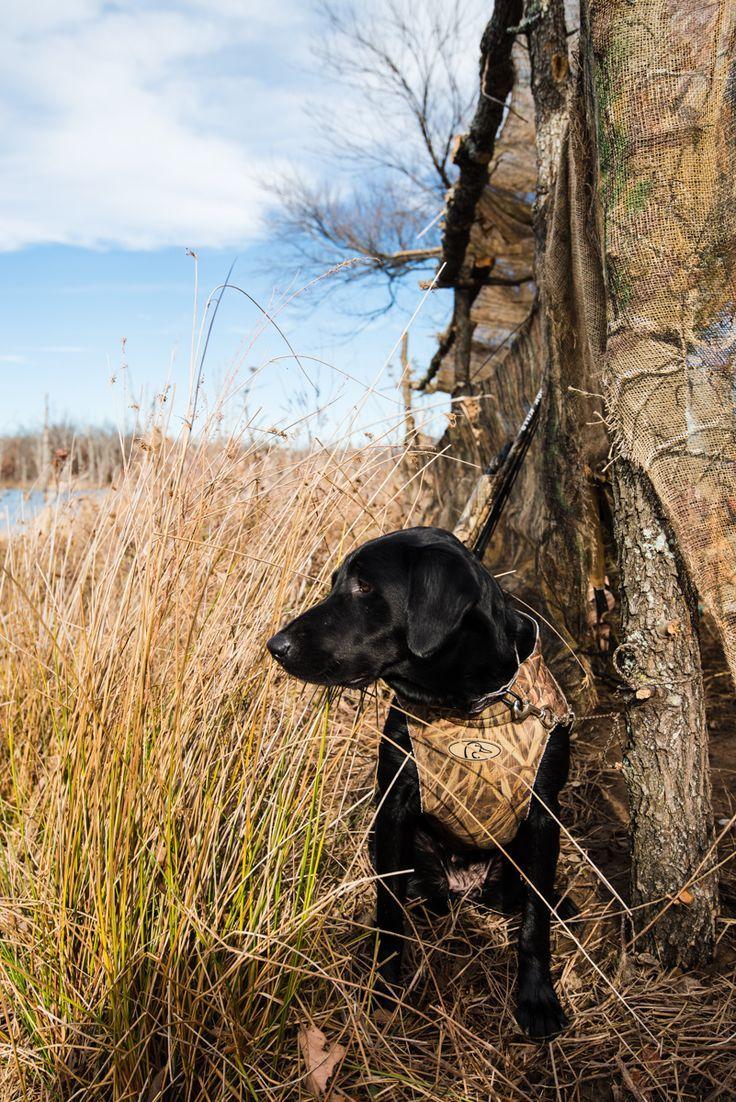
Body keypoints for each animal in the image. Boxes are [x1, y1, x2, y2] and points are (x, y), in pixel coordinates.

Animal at [267, 524, 572, 1040]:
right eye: (336, 583)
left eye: (365, 587)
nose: (276, 645)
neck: (469, 705)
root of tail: (464, 886)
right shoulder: (395, 808)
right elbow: (389, 911)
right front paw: (385, 987)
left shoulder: (542, 815)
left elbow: (534, 923)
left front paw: (537, 999)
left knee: (530, 897)